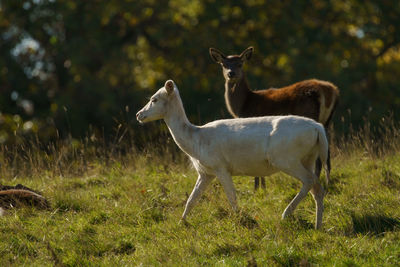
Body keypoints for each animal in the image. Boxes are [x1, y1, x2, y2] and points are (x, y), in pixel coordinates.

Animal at [136, 80, 330, 230]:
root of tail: (318, 128)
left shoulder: (220, 166)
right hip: (308, 157)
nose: (139, 114)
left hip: (286, 157)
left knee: (309, 181)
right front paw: (181, 222)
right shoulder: (205, 172)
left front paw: (242, 221)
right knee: (317, 188)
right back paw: (317, 226)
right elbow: (192, 199)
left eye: (154, 99)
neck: (196, 141)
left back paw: (285, 214)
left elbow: (232, 197)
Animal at [211, 47, 340, 191]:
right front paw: (262, 187)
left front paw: (258, 189)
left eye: (240, 64)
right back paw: (327, 182)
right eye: (224, 64)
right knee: (326, 152)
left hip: (309, 115)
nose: (231, 73)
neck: (244, 105)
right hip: (326, 122)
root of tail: (330, 91)